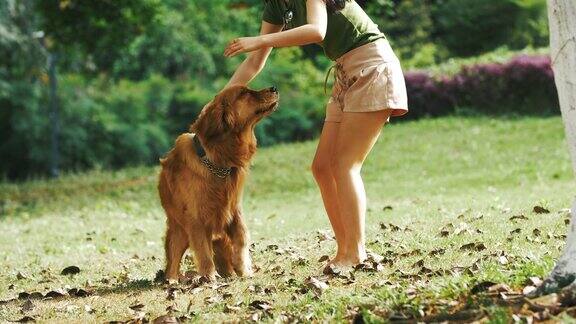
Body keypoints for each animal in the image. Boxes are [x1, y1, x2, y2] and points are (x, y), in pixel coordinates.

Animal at [159, 85, 278, 280]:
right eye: (244, 93)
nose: (274, 88)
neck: (217, 162)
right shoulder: (196, 219)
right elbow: (203, 251)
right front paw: (209, 277)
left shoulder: (233, 209)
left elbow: (241, 237)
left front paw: (243, 268)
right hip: (179, 232)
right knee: (173, 262)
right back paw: (172, 280)